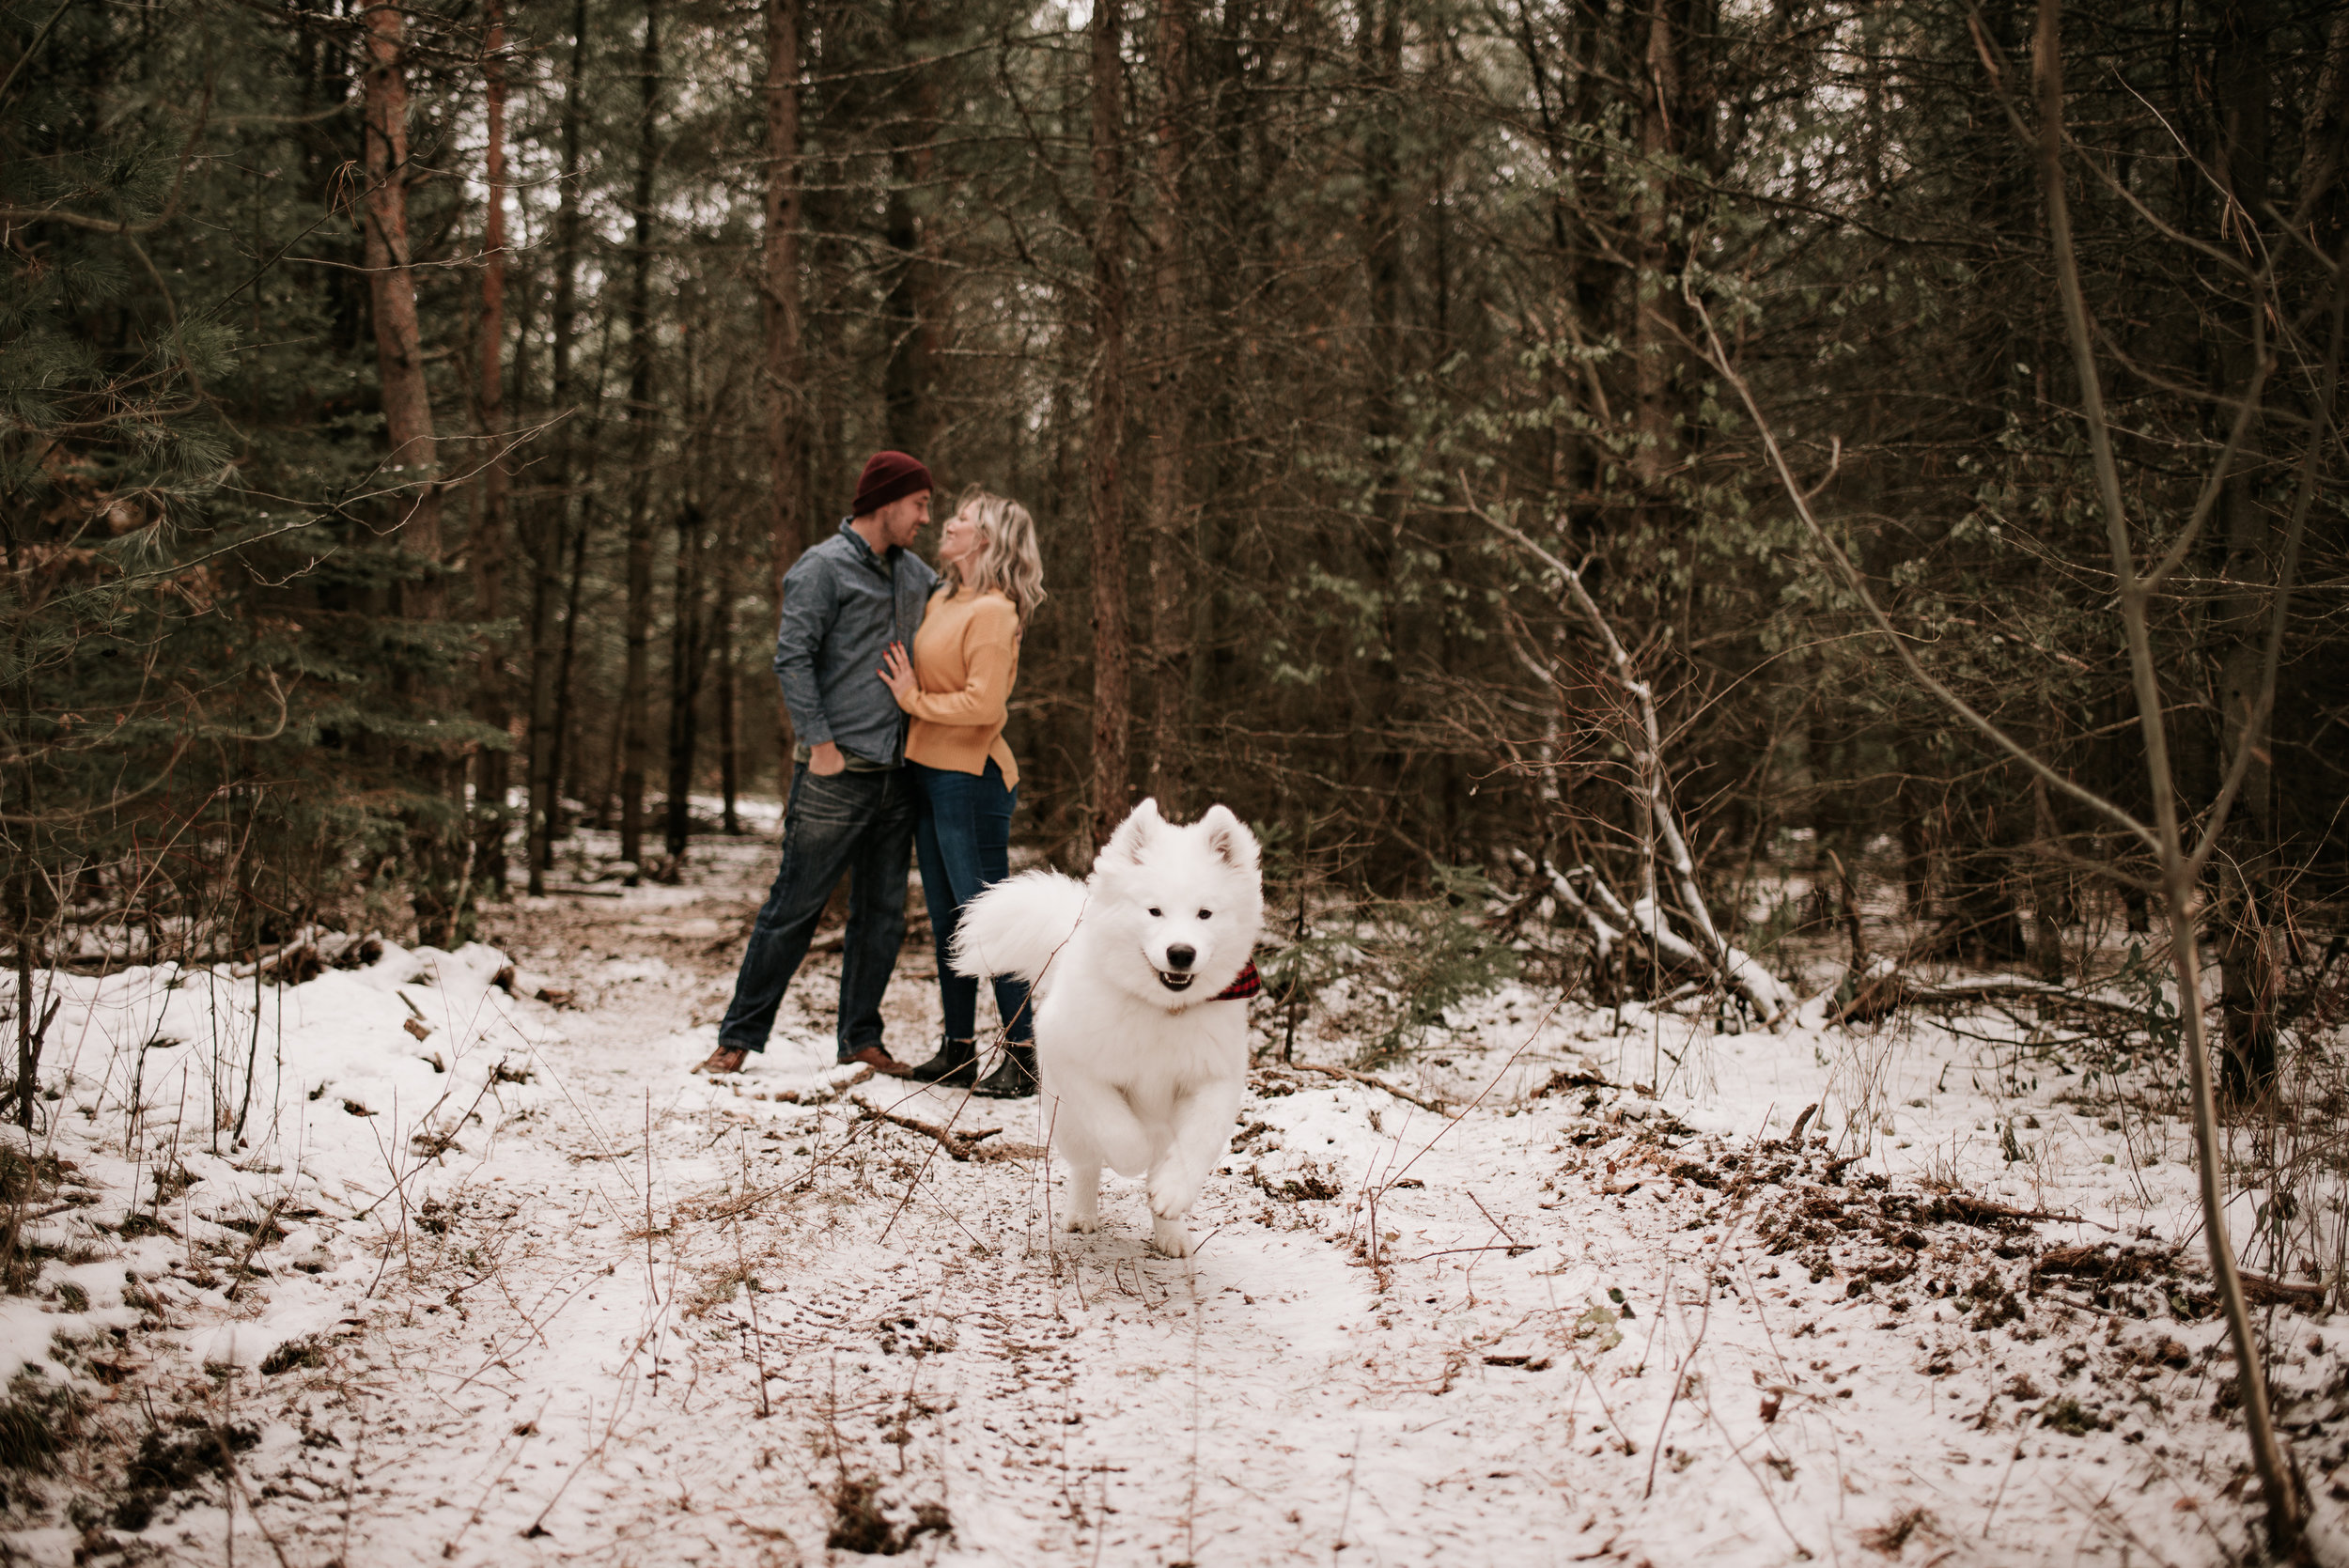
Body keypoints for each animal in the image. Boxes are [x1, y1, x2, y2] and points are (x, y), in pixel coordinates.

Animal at [949, 802, 1268, 1258]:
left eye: (1205, 913)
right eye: (1154, 911)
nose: (1181, 953)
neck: (1161, 1009)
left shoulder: (1213, 1077)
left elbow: (1196, 1142)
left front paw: (1171, 1193)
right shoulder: (1073, 1062)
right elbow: (1117, 1128)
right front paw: (1135, 1158)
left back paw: (1171, 1233)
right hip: (1066, 1120)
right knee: (1086, 1162)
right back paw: (1082, 1215)